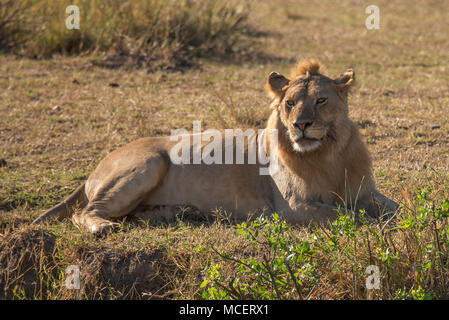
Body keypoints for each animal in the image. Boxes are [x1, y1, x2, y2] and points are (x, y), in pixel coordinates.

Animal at [33, 59, 398, 235]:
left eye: (321, 101)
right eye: (290, 103)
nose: (301, 125)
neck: (327, 155)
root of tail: (93, 169)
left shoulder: (367, 192)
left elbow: (395, 209)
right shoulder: (292, 207)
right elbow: (347, 215)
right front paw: (375, 225)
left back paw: (182, 212)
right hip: (147, 163)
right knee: (85, 212)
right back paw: (103, 228)